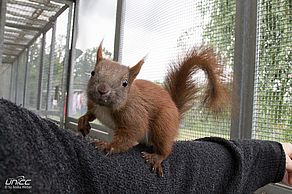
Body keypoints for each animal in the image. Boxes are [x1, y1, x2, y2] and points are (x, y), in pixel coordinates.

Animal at [77, 41, 228, 177]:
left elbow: (131, 133)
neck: (104, 107)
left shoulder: (134, 113)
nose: (102, 90)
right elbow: (90, 114)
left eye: (125, 83)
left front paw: (108, 146)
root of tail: (176, 113)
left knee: (165, 148)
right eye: (93, 72)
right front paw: (83, 121)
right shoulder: (94, 106)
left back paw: (156, 157)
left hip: (163, 124)